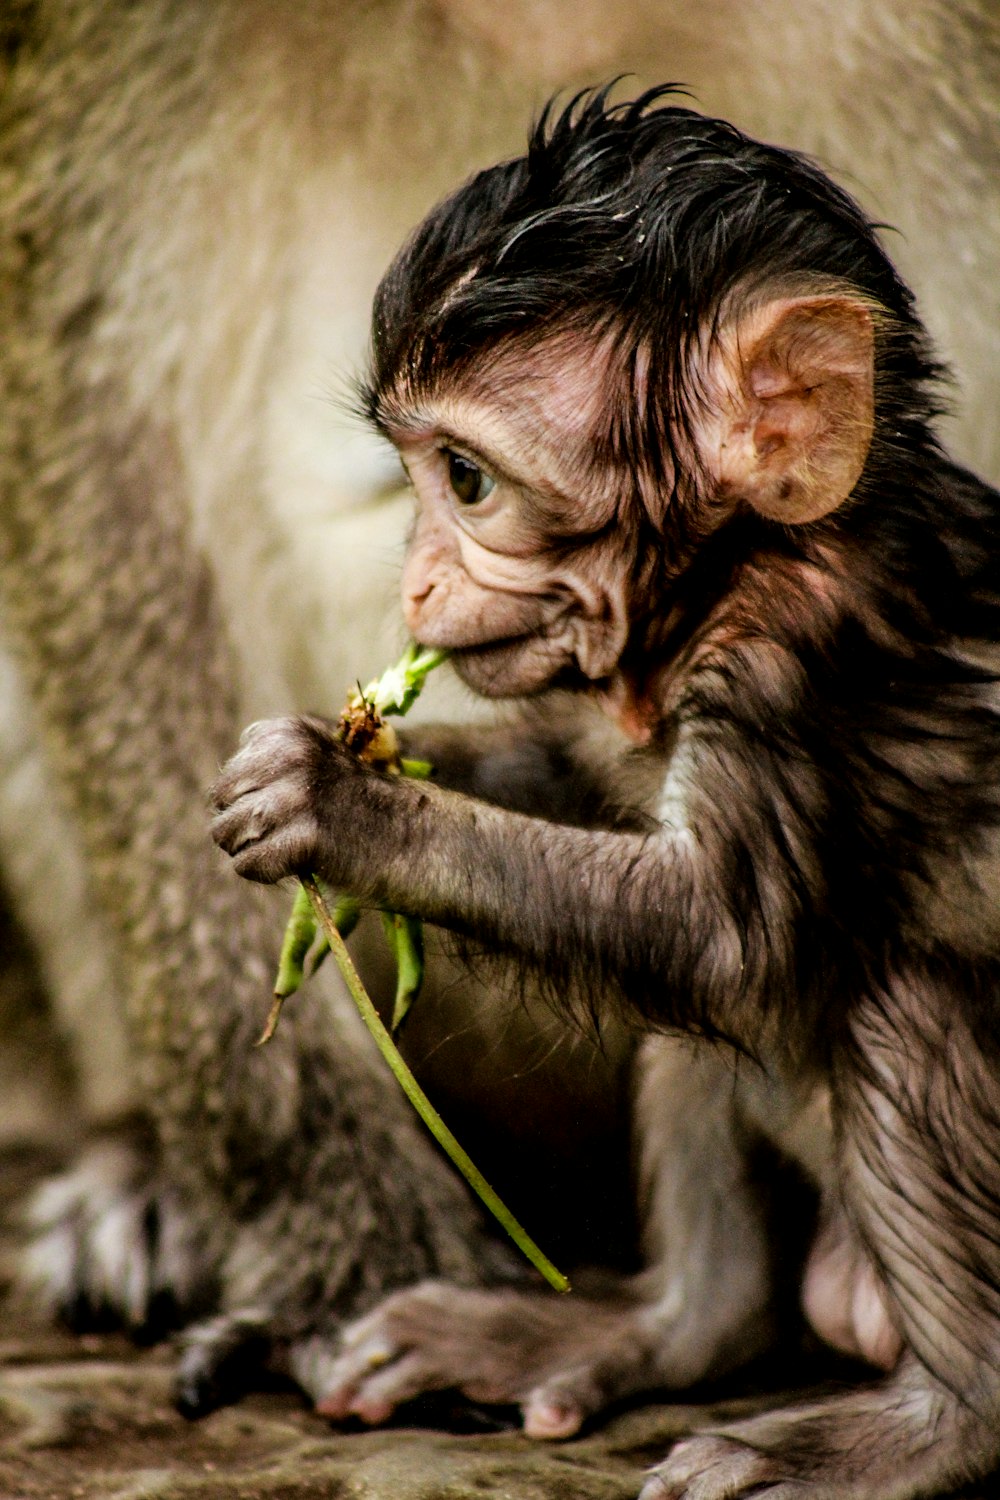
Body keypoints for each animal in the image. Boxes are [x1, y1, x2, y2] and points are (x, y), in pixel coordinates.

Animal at [215, 96, 1000, 1500]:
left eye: (467, 482)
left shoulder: (789, 653)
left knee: (894, 993)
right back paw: (678, 1322)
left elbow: (720, 935)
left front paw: (336, 811)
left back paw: (942, 1420)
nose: (414, 584)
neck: (732, 572)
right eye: (415, 473)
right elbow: (603, 806)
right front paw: (339, 748)